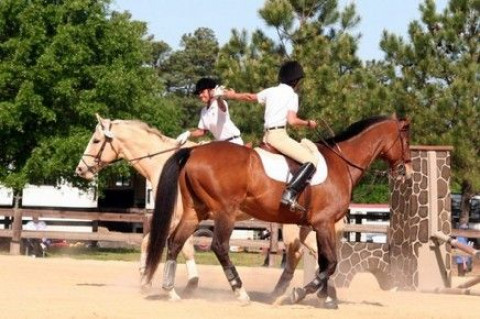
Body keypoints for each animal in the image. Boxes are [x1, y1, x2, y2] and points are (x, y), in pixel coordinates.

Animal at [75, 114, 328, 302]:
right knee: (307, 252)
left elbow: (169, 245)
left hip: (291, 225)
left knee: (305, 252)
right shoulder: (186, 216)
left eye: (96, 141)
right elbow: (165, 243)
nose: (80, 169)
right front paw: (153, 279)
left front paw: (169, 281)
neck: (163, 161)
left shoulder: (176, 216)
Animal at [143, 115, 412, 310]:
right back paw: (240, 293)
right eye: (406, 141)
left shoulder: (311, 225)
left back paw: (170, 290)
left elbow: (322, 260)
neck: (342, 162)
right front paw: (300, 294)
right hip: (225, 212)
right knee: (219, 246)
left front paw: (326, 298)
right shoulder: (324, 223)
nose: (406, 172)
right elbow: (331, 262)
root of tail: (194, 151)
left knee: (174, 241)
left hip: (195, 211)